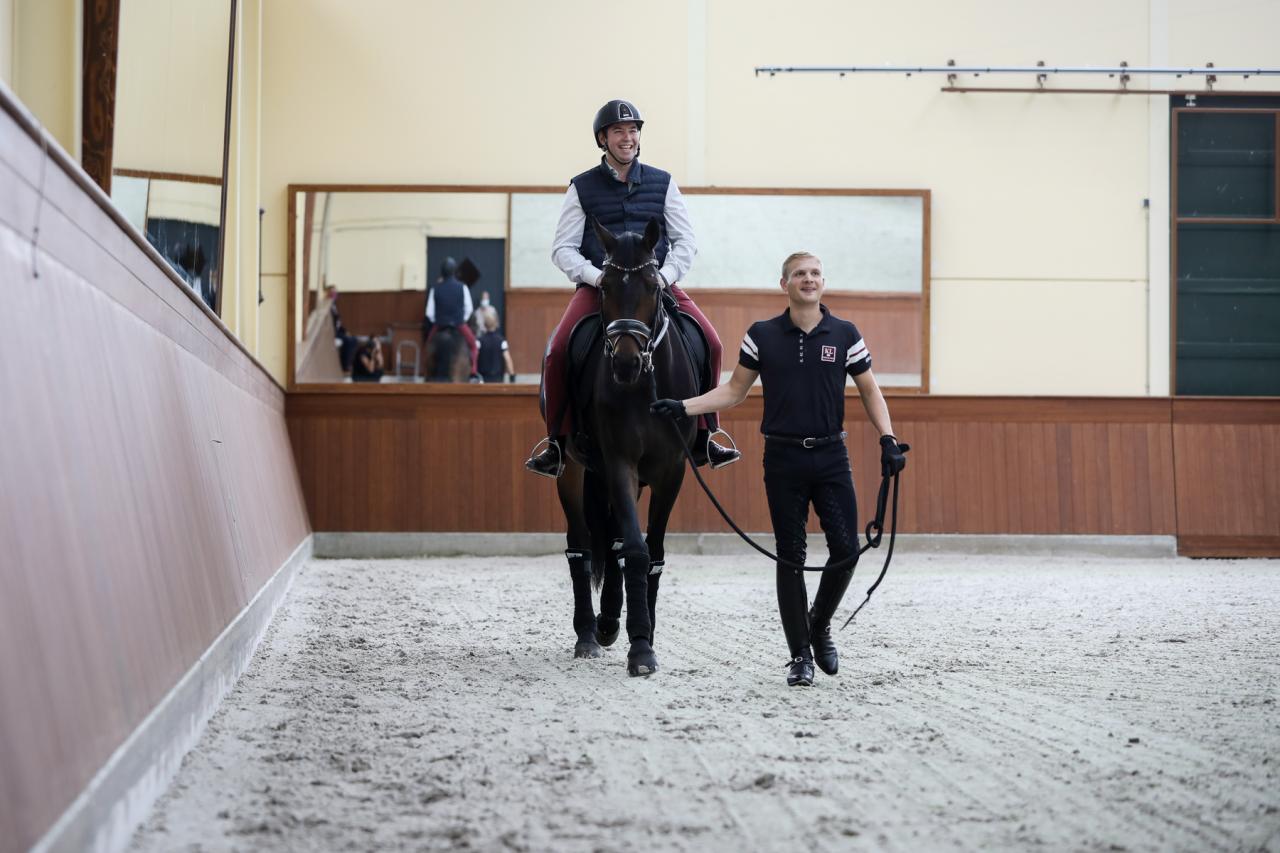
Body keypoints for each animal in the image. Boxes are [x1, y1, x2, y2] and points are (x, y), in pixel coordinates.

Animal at [555, 216, 701, 676]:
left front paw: (643, 633)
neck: (644, 387)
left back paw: (608, 620)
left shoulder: (672, 471)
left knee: (614, 540)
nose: (624, 363)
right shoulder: (619, 463)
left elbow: (650, 553)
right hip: (572, 471)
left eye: (654, 287)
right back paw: (589, 632)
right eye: (604, 288)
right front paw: (640, 648)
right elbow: (635, 550)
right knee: (581, 546)